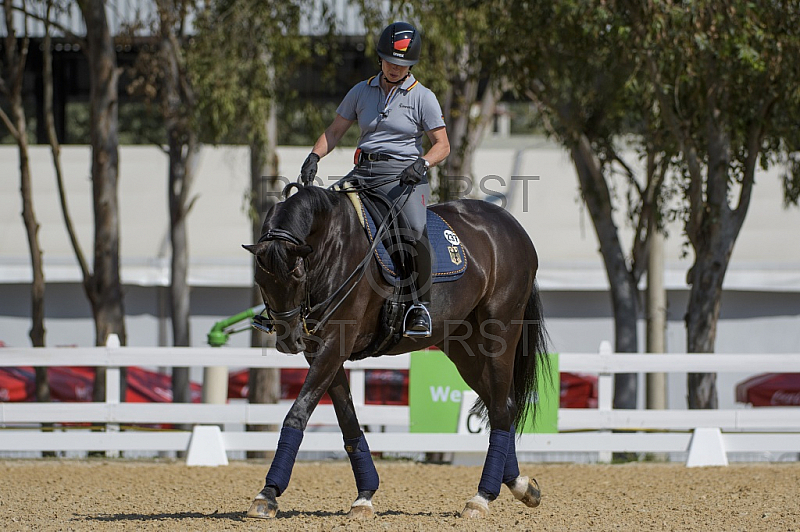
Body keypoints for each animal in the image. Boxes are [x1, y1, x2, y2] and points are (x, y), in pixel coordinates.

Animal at [242, 184, 552, 520]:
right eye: (260, 279)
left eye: (298, 276)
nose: (288, 340)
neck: (332, 245)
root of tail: (510, 225)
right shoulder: (319, 351)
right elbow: (348, 419)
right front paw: (364, 496)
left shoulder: (335, 344)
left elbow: (298, 413)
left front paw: (268, 493)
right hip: (463, 347)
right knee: (501, 406)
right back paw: (520, 485)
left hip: (500, 332)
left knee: (500, 407)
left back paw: (481, 497)